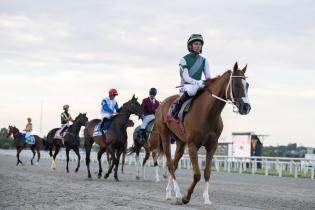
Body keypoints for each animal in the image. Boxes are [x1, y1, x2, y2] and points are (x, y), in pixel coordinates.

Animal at [156, 62, 252, 205]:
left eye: (247, 85)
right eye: (236, 84)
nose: (246, 107)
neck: (207, 113)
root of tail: (162, 104)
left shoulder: (212, 146)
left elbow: (207, 172)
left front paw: (206, 199)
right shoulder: (192, 145)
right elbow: (197, 174)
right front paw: (186, 197)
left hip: (180, 141)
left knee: (174, 163)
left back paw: (169, 193)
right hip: (165, 136)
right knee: (170, 163)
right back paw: (177, 194)